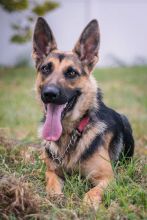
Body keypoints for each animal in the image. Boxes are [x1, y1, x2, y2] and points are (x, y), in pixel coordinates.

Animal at [32, 16, 134, 208]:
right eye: (46, 69)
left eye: (71, 73)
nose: (49, 94)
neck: (70, 134)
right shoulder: (51, 171)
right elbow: (51, 182)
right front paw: (55, 196)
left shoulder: (107, 178)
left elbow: (93, 193)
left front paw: (88, 204)